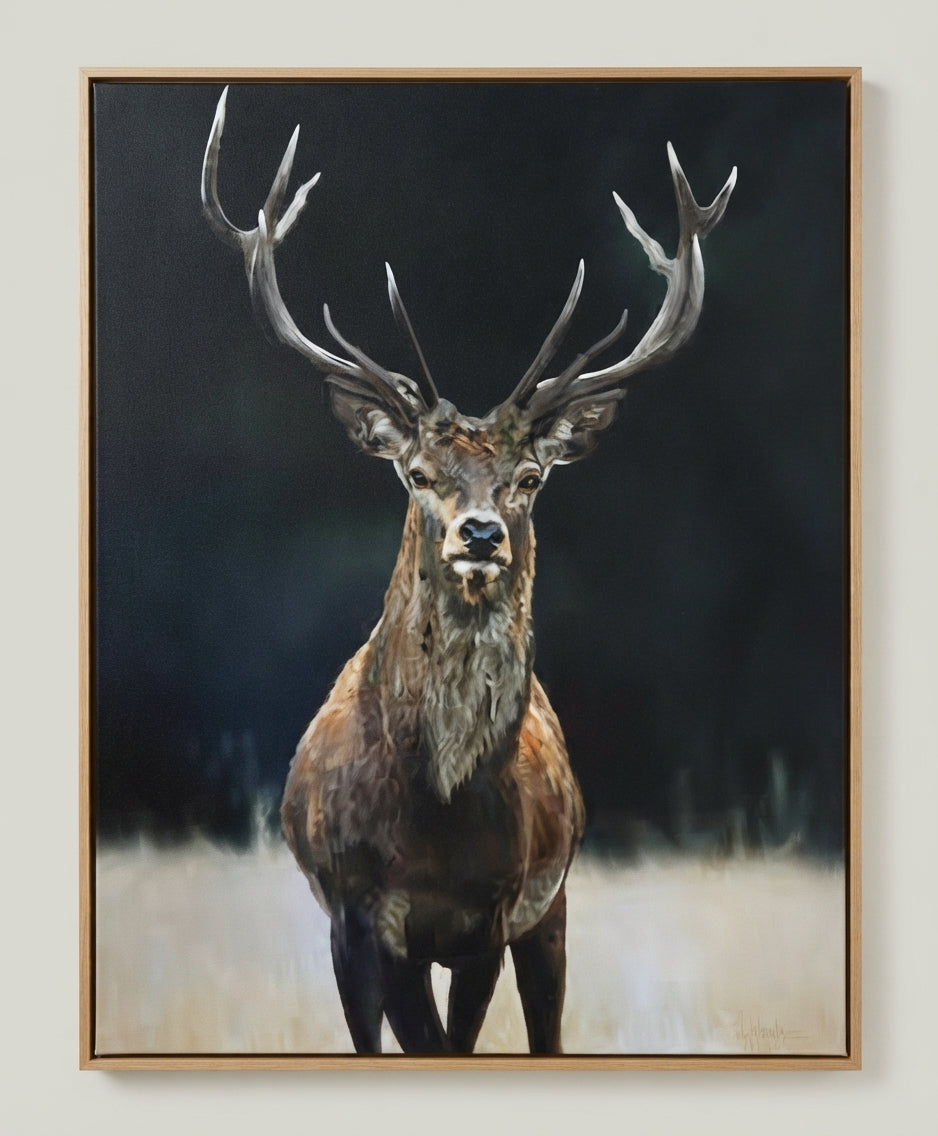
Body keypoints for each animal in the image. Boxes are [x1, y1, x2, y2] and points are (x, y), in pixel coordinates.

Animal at [201, 86, 735, 1055]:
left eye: (529, 478)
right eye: (417, 473)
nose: (480, 534)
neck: (434, 816)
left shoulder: (492, 913)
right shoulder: (356, 917)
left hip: (554, 908)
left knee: (548, 1031)